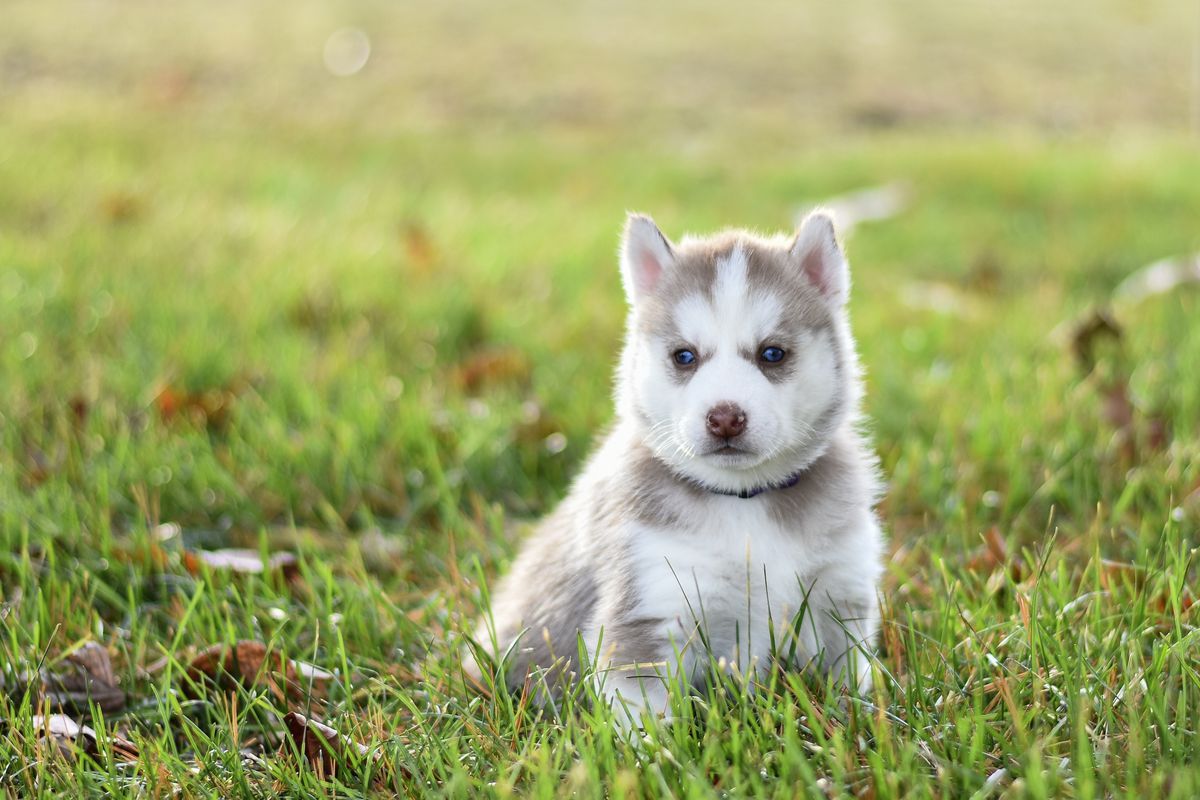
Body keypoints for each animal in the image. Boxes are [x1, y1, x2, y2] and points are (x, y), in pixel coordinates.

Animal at [475, 209, 883, 724]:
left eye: (772, 353)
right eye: (684, 356)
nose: (725, 416)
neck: (744, 502)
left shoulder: (838, 592)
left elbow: (847, 683)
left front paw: (859, 723)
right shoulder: (650, 606)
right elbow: (646, 719)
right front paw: (658, 745)